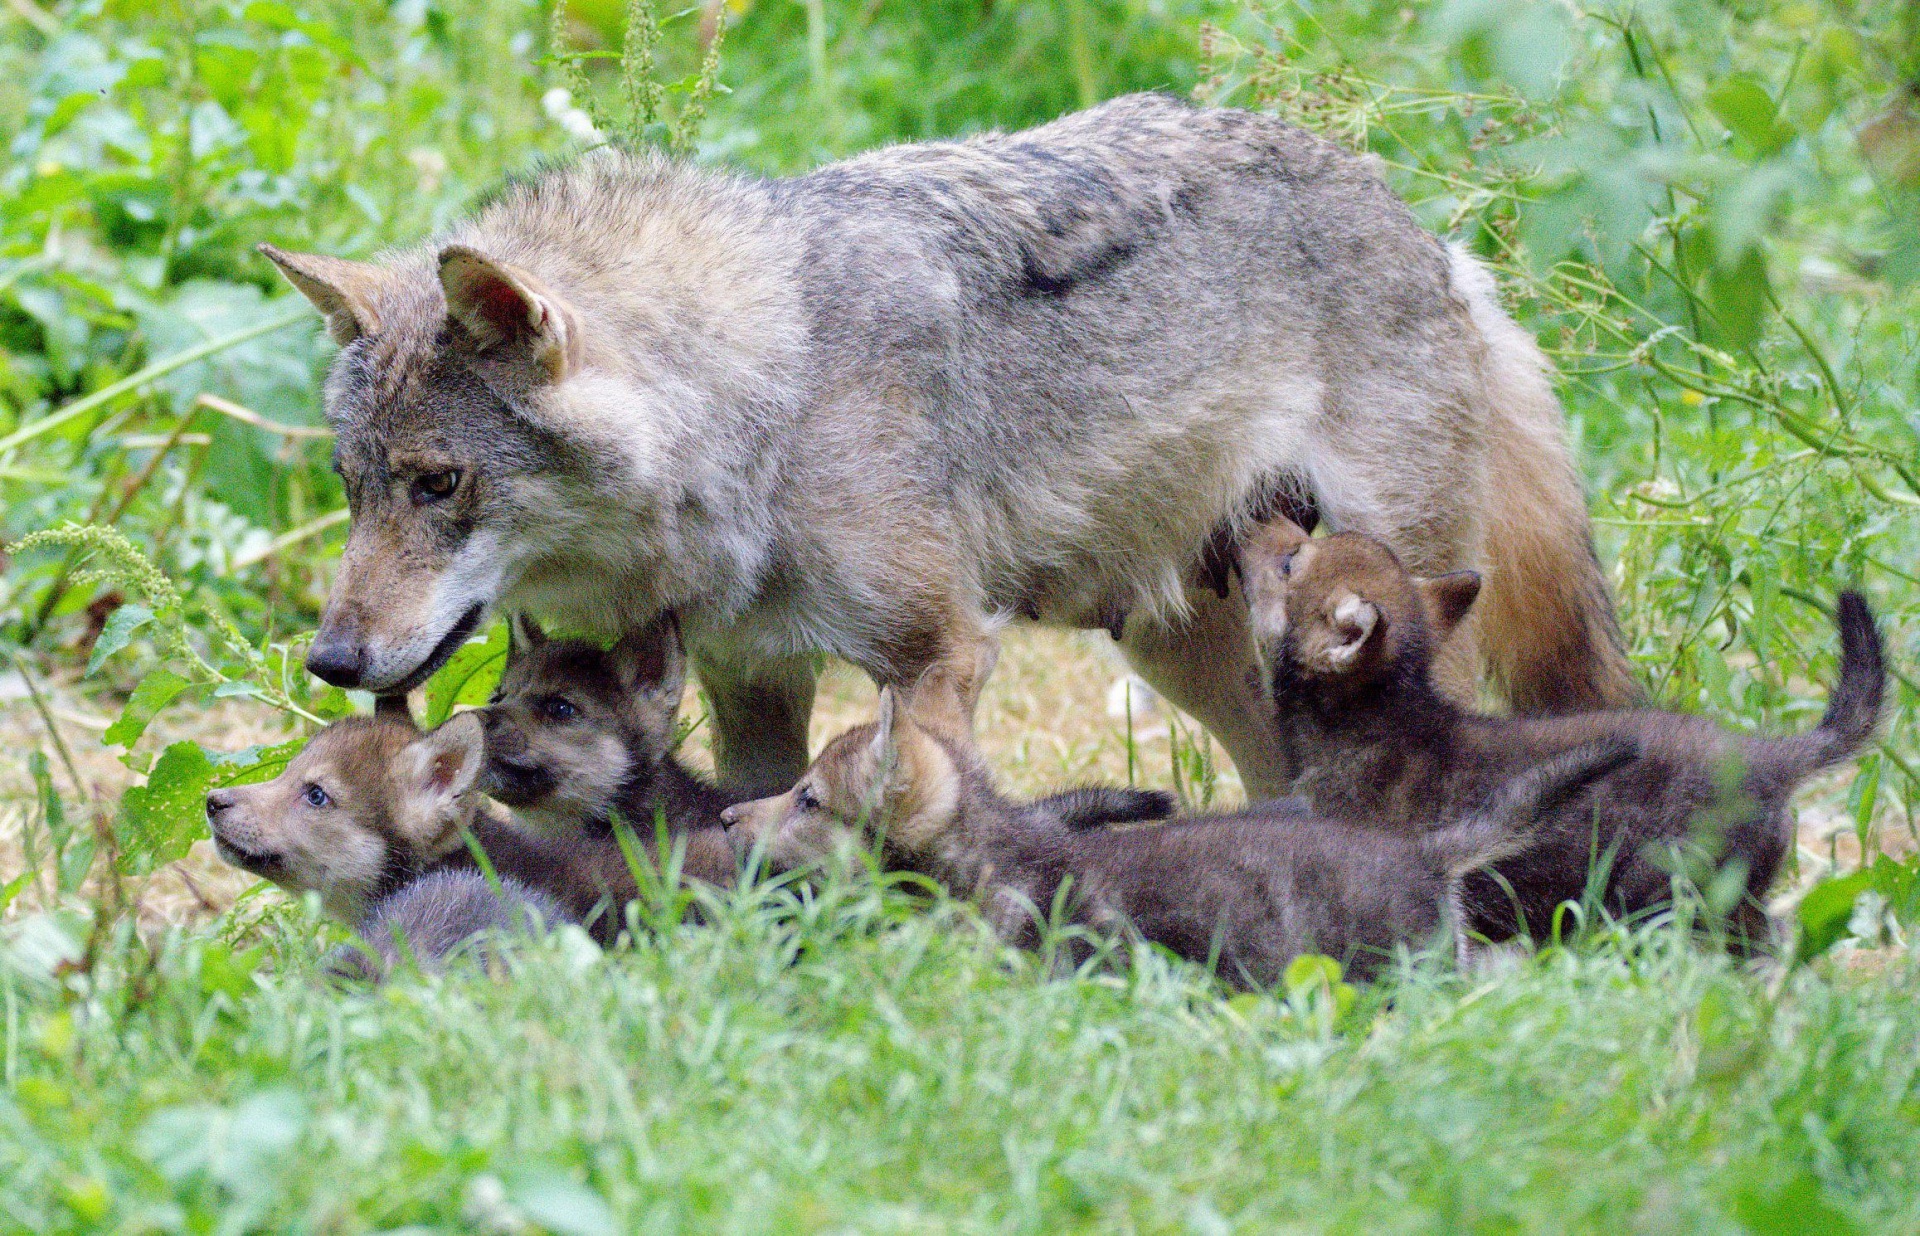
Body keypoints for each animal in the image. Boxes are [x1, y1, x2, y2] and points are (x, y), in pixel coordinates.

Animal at [259, 91, 1635, 798]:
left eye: (441, 484)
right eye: (353, 488)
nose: (331, 660)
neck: (770, 392)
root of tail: (1433, 236)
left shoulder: (937, 657)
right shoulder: (753, 676)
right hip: (1194, 654)